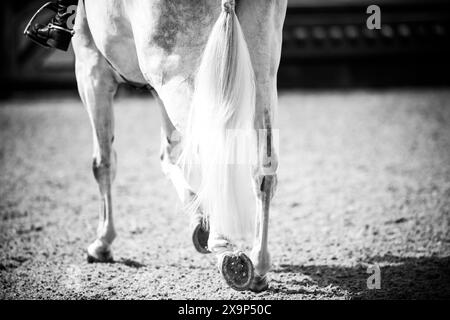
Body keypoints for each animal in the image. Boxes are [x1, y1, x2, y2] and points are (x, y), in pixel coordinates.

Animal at [72, 0, 286, 292]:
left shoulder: (91, 69)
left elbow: (102, 163)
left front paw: (102, 243)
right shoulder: (153, 89)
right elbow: (168, 155)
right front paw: (199, 220)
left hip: (179, 76)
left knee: (213, 153)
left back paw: (226, 250)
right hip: (261, 72)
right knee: (264, 173)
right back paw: (259, 265)